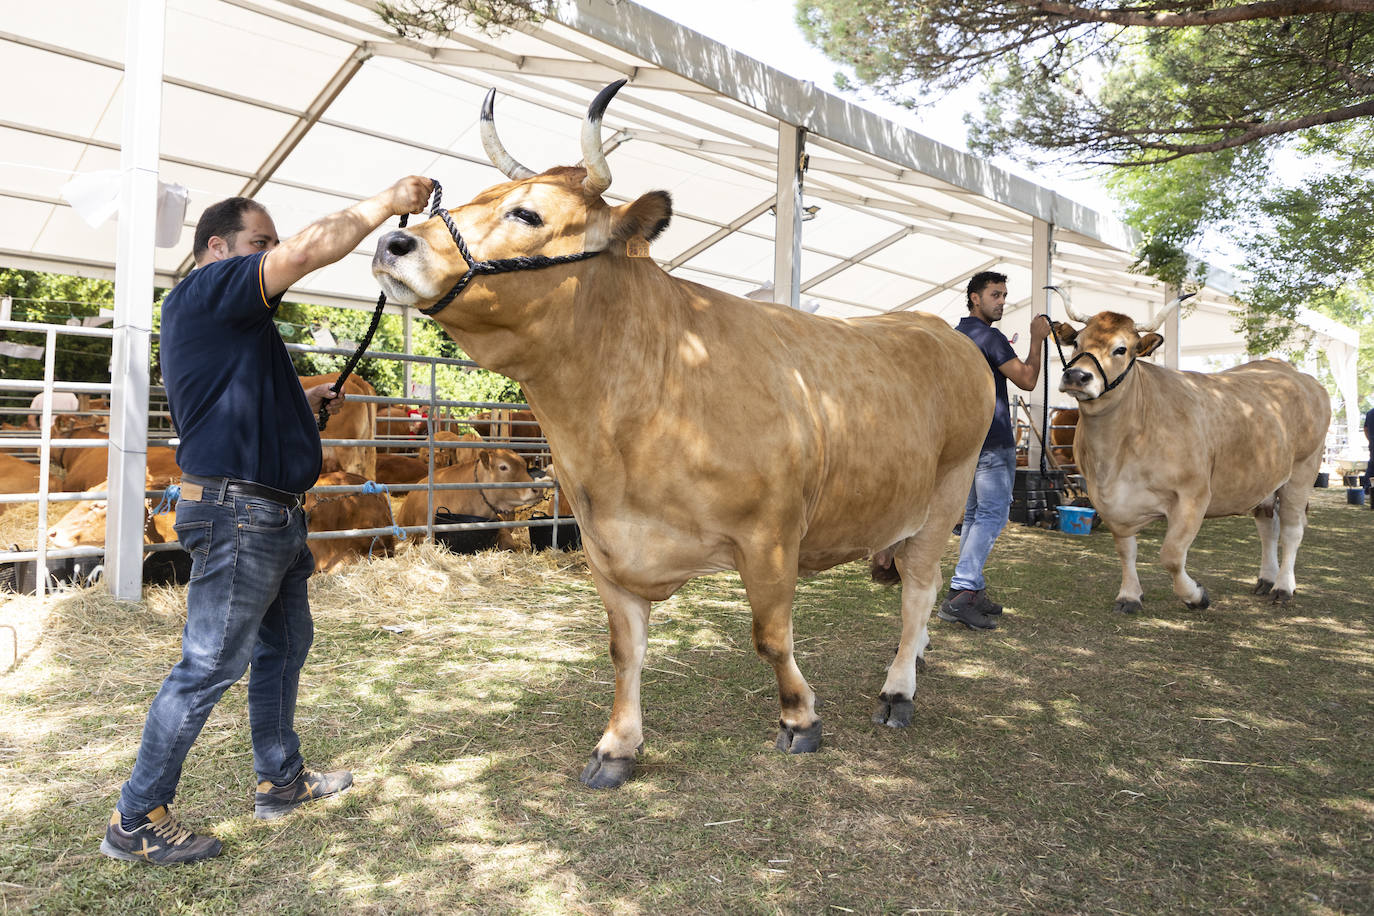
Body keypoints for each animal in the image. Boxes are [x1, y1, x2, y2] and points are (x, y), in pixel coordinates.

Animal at [370, 80, 994, 791]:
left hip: (946, 495)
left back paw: (898, 689)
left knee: (920, 590)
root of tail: (937, 328)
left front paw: (800, 717)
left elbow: (770, 636)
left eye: (527, 214)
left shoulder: (770, 536)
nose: (392, 244)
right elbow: (624, 650)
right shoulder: (606, 547)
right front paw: (618, 745)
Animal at [1049, 289, 1330, 612]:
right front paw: (1129, 595)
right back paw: (1266, 579)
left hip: (1303, 471)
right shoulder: (1109, 501)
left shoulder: (1193, 496)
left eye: (1121, 349)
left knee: (1292, 530)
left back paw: (1283, 587)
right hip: (1266, 481)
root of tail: (1291, 371)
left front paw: (1196, 596)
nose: (1076, 376)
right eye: (1077, 342)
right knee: (1267, 527)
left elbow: (1171, 555)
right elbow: (1125, 550)